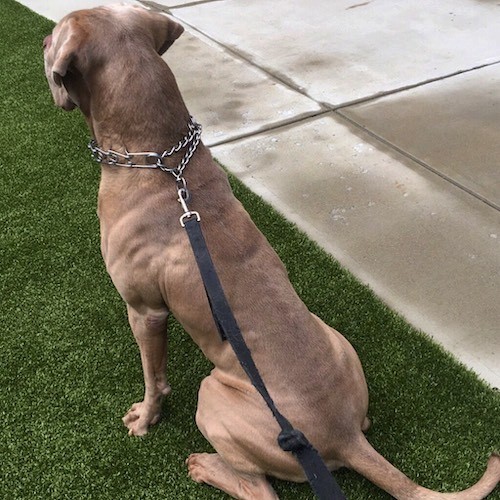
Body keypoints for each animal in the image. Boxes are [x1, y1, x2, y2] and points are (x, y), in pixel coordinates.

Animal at [45, 4, 498, 500]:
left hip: (214, 396)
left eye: (51, 36)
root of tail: (344, 436)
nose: (43, 41)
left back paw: (206, 466)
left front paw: (145, 419)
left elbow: (153, 377)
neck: (163, 159)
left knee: (259, 488)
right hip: (337, 342)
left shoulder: (144, 309)